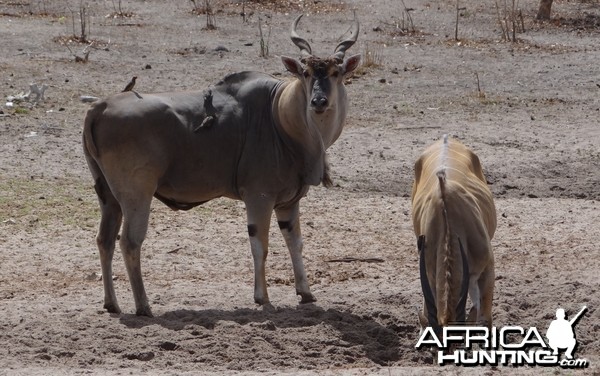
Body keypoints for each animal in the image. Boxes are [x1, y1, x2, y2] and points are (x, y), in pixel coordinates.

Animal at [82, 14, 358, 316]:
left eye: (336, 73)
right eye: (306, 73)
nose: (318, 101)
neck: (278, 114)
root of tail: (99, 108)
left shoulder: (288, 203)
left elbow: (295, 243)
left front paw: (305, 293)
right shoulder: (259, 197)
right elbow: (260, 245)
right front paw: (263, 298)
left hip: (108, 196)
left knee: (104, 240)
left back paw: (112, 304)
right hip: (136, 195)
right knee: (130, 241)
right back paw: (143, 306)